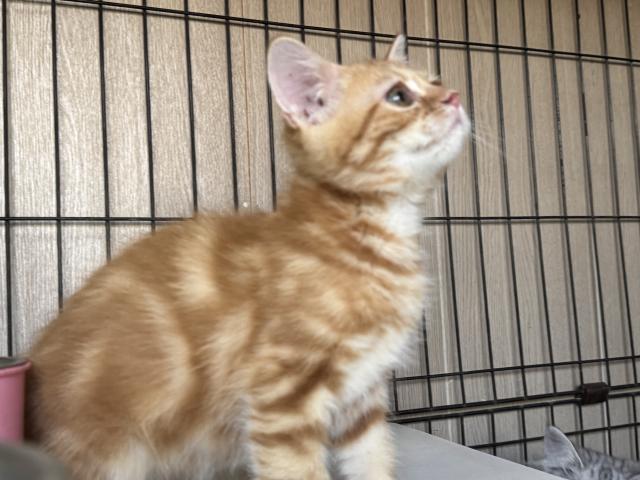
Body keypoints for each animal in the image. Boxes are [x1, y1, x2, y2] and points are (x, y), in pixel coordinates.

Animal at [27, 35, 469, 480]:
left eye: (435, 80)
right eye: (399, 96)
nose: (454, 96)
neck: (373, 231)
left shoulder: (362, 396)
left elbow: (372, 459)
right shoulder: (282, 392)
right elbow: (299, 470)